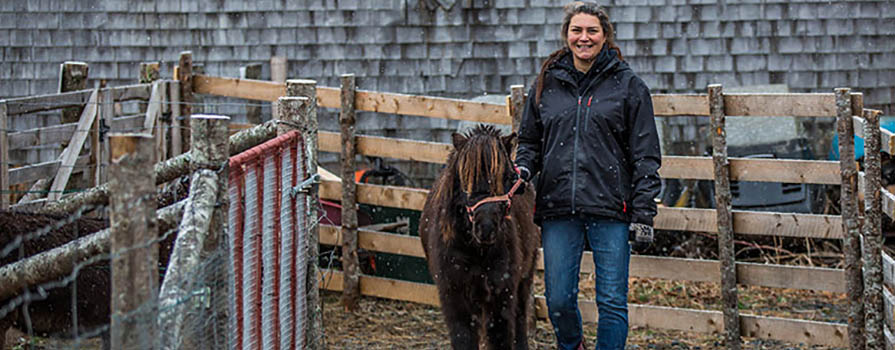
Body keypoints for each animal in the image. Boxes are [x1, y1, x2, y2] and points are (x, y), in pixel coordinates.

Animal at [422, 126, 540, 350]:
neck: (476, 250)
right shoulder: (454, 297)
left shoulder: (501, 295)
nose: (486, 228)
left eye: (507, 177)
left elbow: (501, 336)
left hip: (525, 278)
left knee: (520, 317)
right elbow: (464, 338)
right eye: (465, 178)